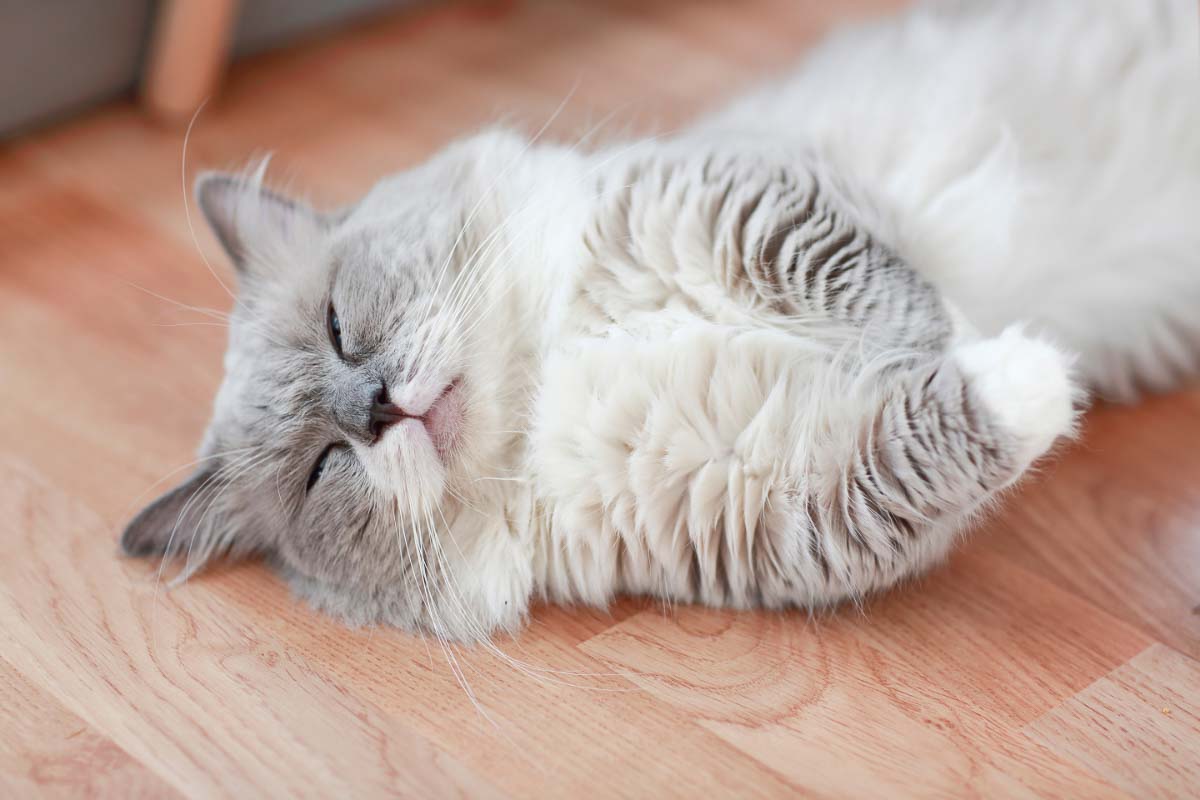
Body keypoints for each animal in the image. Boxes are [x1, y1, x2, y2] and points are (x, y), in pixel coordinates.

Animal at [121, 0, 1200, 642]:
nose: (378, 407)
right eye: (321, 466)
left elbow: (876, 290)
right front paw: (1023, 368)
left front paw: (945, 326)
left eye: (341, 327)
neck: (544, 376)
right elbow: (946, 416)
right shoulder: (803, 503)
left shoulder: (747, 197)